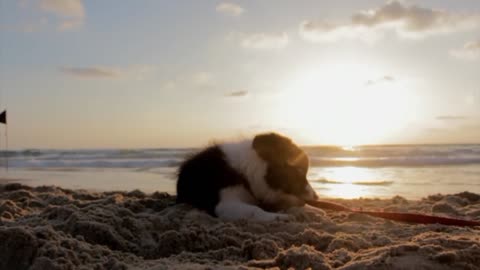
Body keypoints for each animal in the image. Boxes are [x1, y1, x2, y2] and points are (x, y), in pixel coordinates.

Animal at [176, 132, 318, 220]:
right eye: (299, 171)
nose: (317, 197)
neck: (247, 172)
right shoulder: (225, 203)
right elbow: (254, 210)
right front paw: (278, 217)